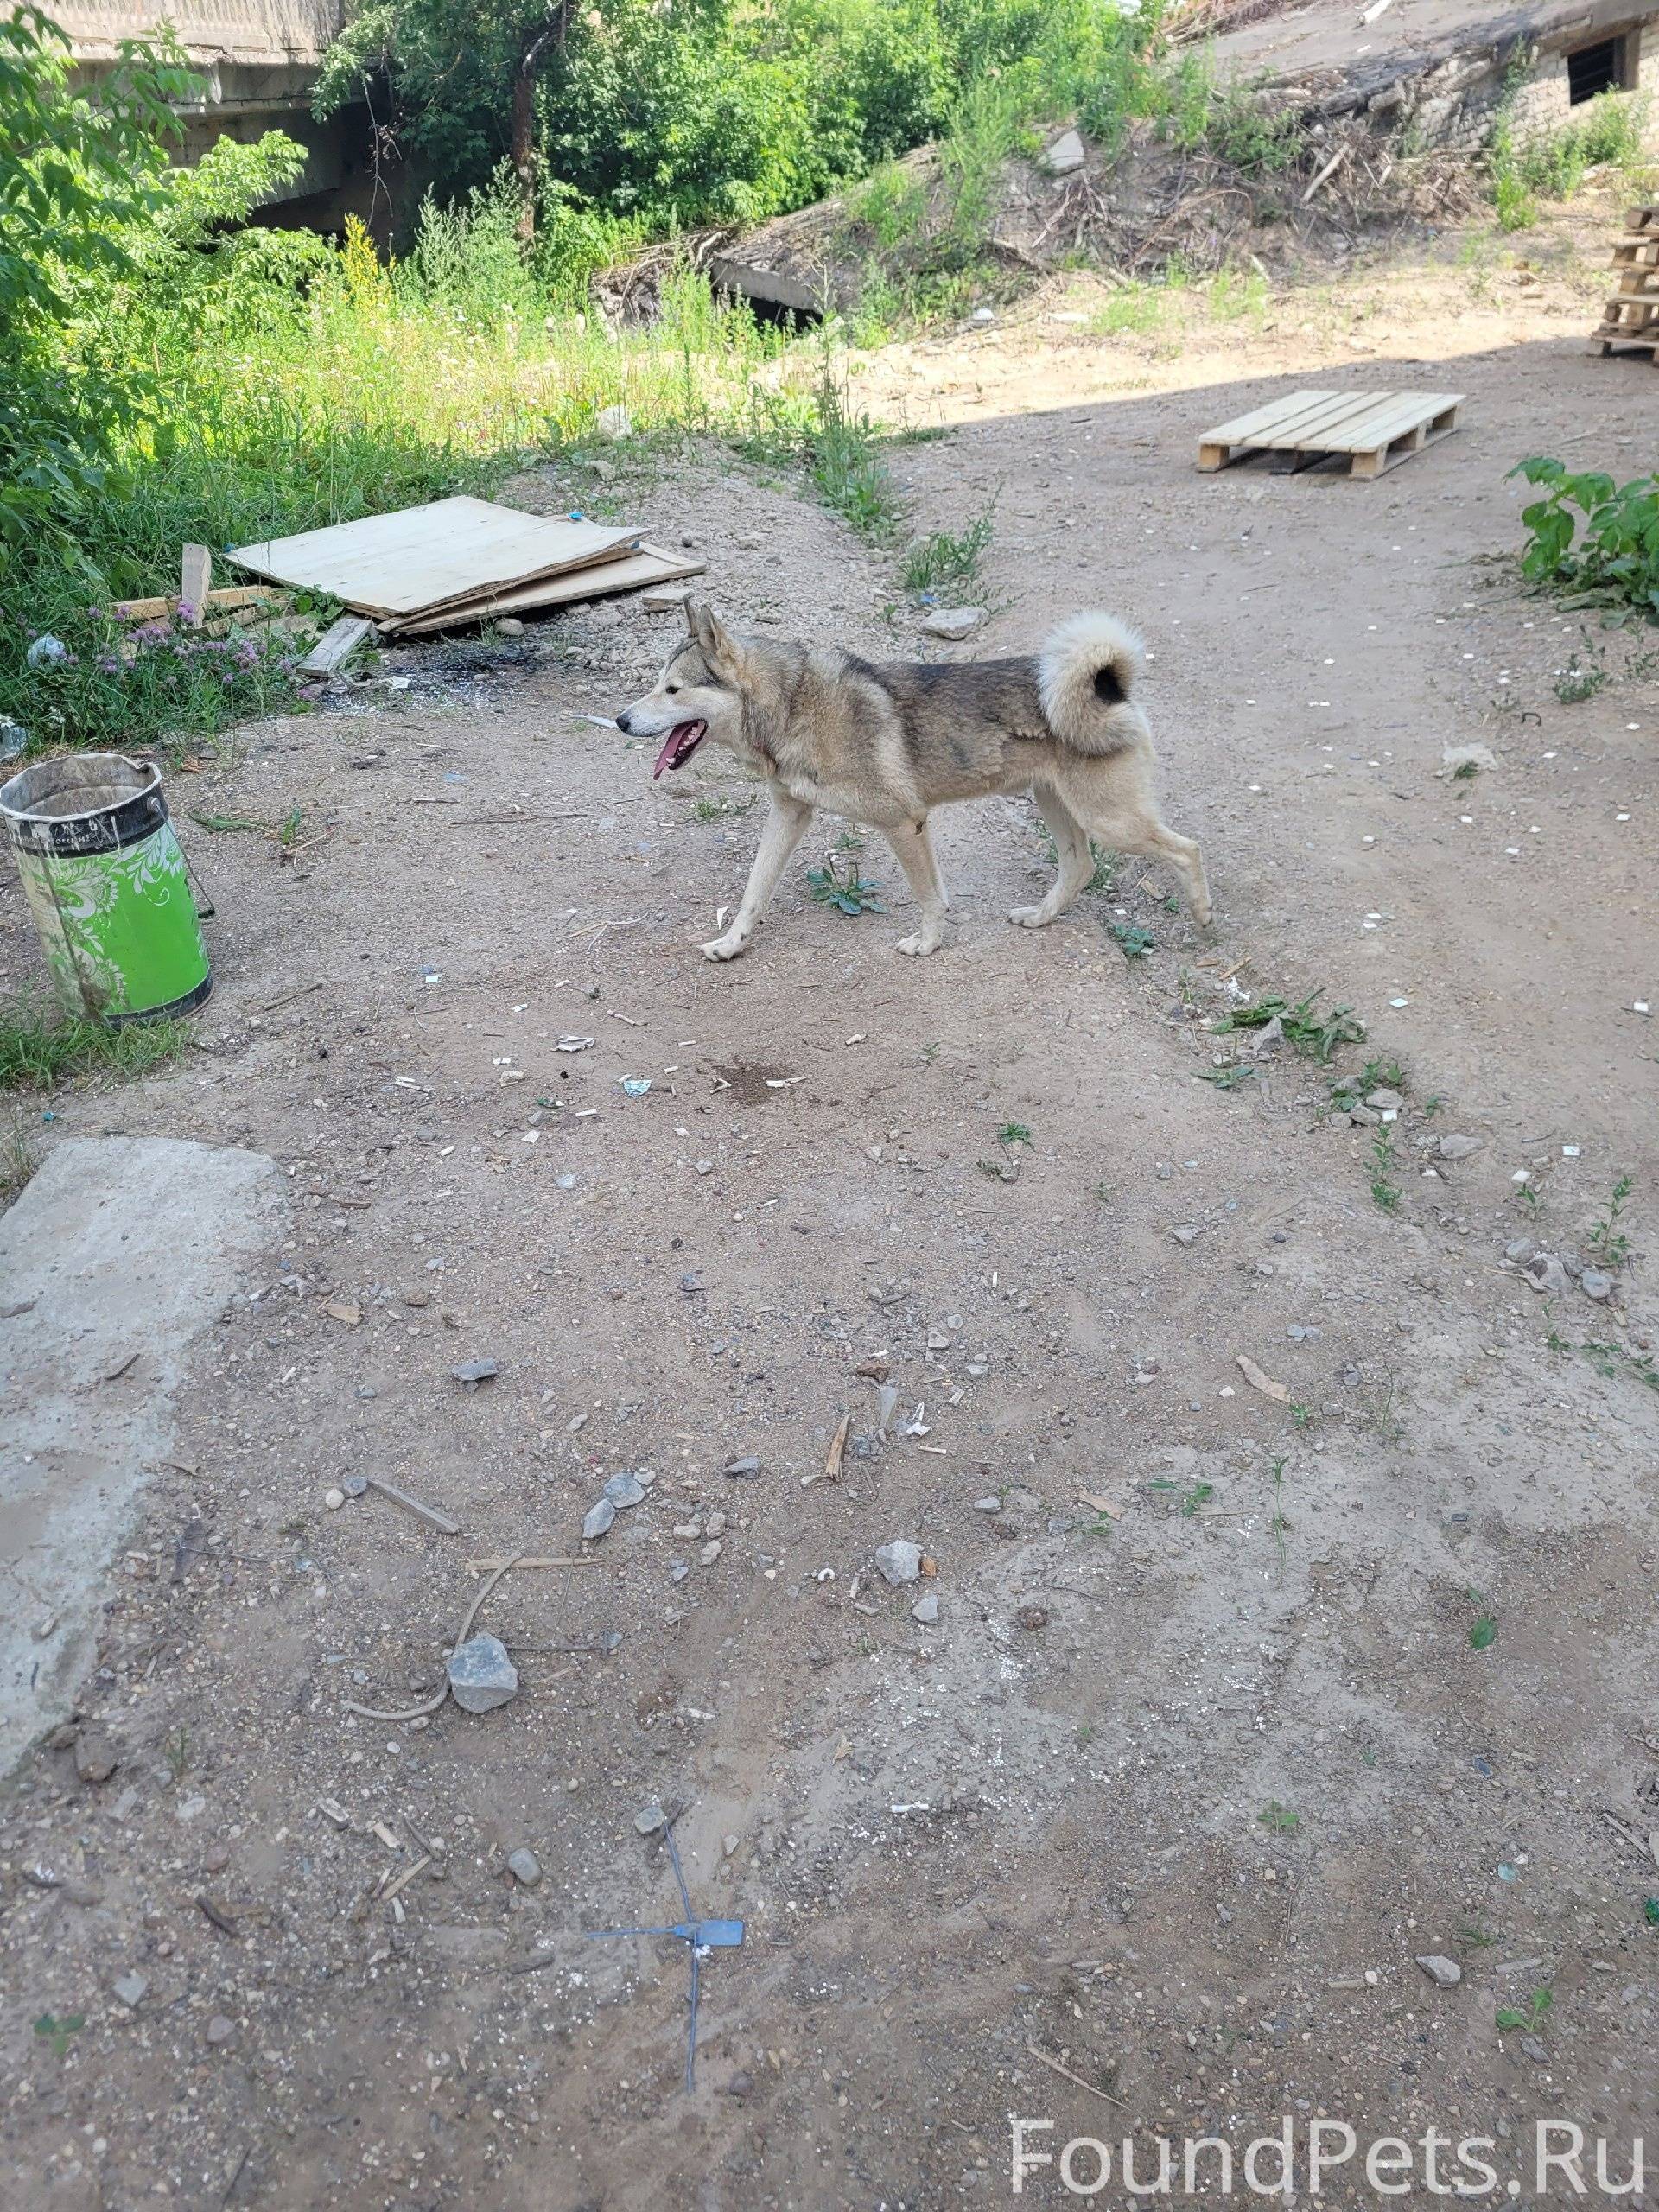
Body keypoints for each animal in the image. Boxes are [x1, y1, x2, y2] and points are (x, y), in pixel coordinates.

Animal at [619, 601, 1211, 964]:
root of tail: (1112, 688)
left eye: (672, 690)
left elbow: (929, 896)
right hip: (1058, 806)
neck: (792, 706)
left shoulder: (905, 823)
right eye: (655, 684)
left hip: (1110, 820)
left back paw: (1204, 918)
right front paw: (731, 944)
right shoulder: (789, 814)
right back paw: (1040, 917)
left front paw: (927, 946)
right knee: (1081, 867)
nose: (622, 721)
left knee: (1187, 849)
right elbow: (754, 891)